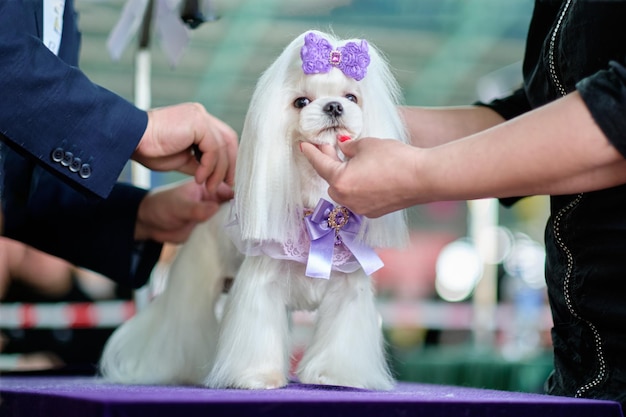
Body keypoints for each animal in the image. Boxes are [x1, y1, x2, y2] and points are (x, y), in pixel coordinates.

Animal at [100, 30, 408, 390]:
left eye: (351, 97)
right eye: (301, 102)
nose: (334, 105)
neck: (316, 206)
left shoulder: (348, 291)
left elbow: (340, 337)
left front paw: (335, 375)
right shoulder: (262, 287)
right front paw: (259, 377)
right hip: (193, 282)